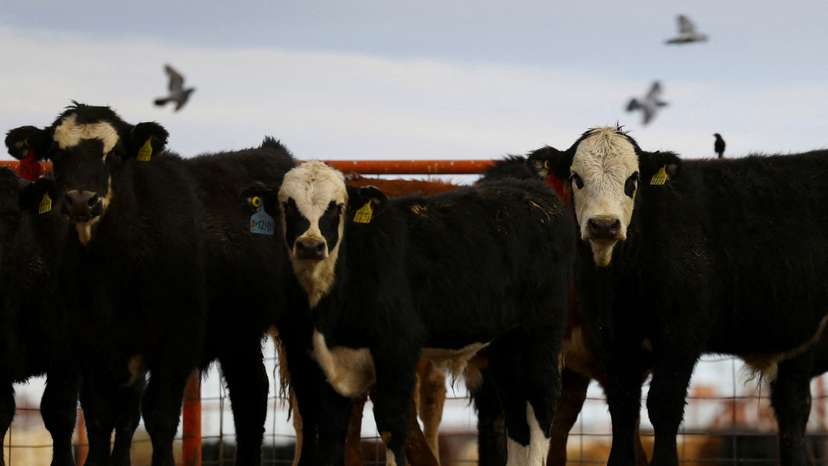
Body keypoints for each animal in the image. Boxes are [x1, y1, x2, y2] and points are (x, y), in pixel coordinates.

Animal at [243, 160, 574, 466]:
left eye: (337, 207)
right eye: (287, 205)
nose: (310, 246)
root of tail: (535, 196)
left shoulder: (396, 352)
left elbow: (393, 427)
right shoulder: (316, 361)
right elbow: (330, 433)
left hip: (540, 334)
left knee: (541, 403)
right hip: (505, 345)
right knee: (517, 413)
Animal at [527, 126, 828, 466]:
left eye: (633, 180)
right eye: (576, 177)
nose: (604, 225)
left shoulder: (681, 337)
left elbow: (664, 406)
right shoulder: (614, 343)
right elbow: (623, 408)